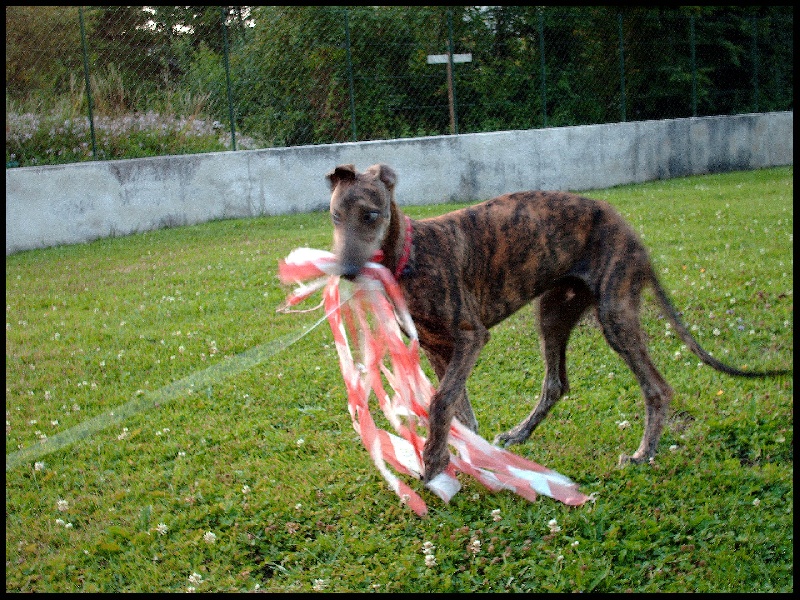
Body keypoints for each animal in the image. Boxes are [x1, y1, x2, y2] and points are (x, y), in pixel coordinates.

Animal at [326, 163, 788, 483]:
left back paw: (643, 454)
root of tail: (630, 231)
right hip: (552, 313)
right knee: (556, 383)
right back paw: (519, 434)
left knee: (657, 388)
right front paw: (467, 457)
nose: (346, 271)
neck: (412, 253)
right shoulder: (438, 349)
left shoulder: (471, 337)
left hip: (615, 315)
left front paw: (434, 464)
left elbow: (441, 403)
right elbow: (459, 412)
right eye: (334, 217)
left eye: (371, 215)